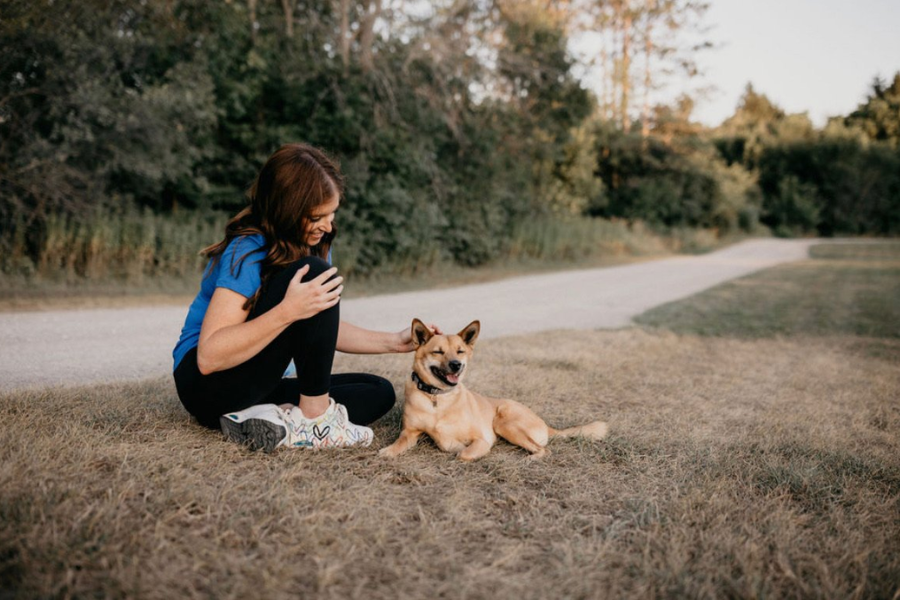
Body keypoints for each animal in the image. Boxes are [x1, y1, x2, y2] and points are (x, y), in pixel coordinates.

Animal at [376, 316, 608, 462]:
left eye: (460, 351)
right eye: (438, 352)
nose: (456, 365)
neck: (438, 399)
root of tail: (546, 425)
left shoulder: (482, 439)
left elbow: (463, 453)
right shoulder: (410, 432)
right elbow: (399, 443)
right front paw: (387, 451)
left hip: (504, 421)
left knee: (544, 449)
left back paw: (528, 459)